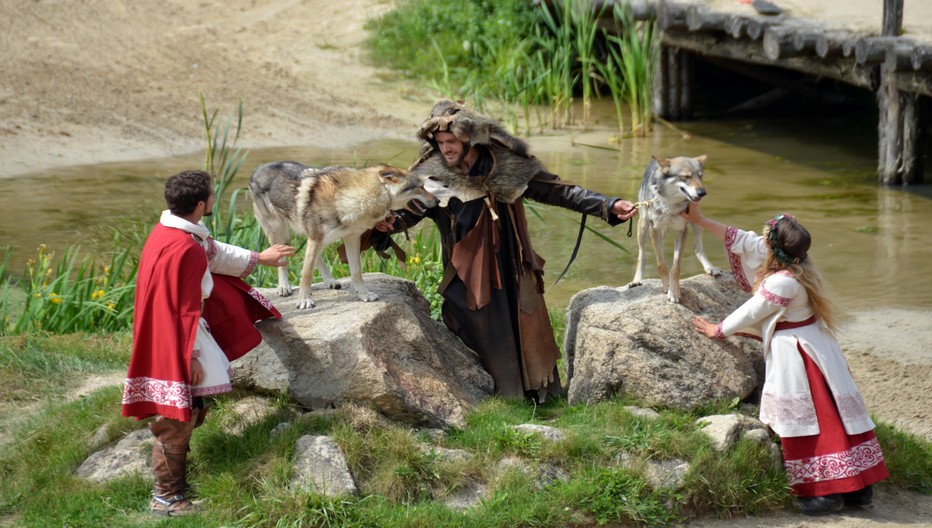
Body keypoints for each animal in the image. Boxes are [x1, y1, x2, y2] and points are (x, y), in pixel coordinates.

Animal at [248, 161, 436, 310]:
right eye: (421, 187)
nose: (437, 202)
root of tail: (257, 169)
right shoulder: (316, 238)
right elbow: (306, 275)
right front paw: (304, 301)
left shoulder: (351, 239)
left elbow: (356, 272)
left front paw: (364, 295)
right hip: (279, 233)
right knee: (283, 260)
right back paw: (284, 287)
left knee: (316, 259)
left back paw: (330, 280)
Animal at [628, 155, 724, 304]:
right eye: (686, 176)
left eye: (700, 176)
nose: (702, 193)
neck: (670, 204)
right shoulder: (654, 229)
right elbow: (661, 263)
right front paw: (666, 286)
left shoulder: (681, 230)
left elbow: (676, 267)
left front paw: (674, 291)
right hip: (643, 226)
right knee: (642, 254)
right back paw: (637, 280)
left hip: (696, 222)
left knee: (698, 248)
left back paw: (710, 268)